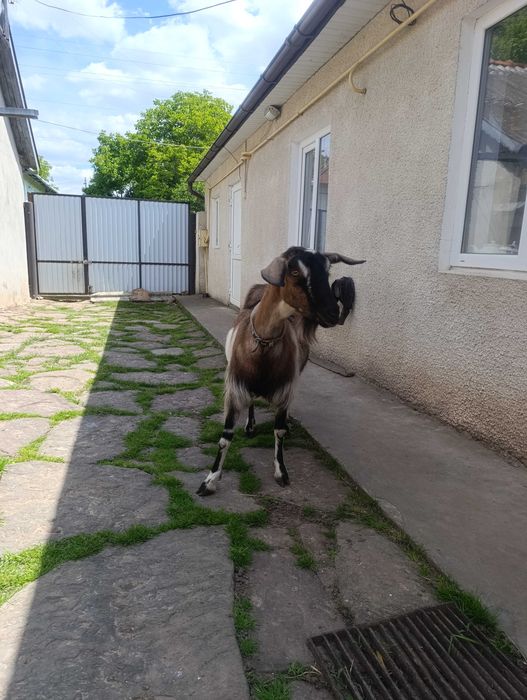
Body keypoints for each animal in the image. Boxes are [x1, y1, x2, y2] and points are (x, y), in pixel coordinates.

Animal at [197, 246, 364, 496]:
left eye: (328, 270)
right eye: (294, 272)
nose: (332, 313)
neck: (263, 345)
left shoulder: (286, 389)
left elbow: (279, 431)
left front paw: (281, 471)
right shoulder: (235, 387)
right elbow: (226, 436)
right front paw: (209, 481)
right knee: (252, 402)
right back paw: (250, 426)